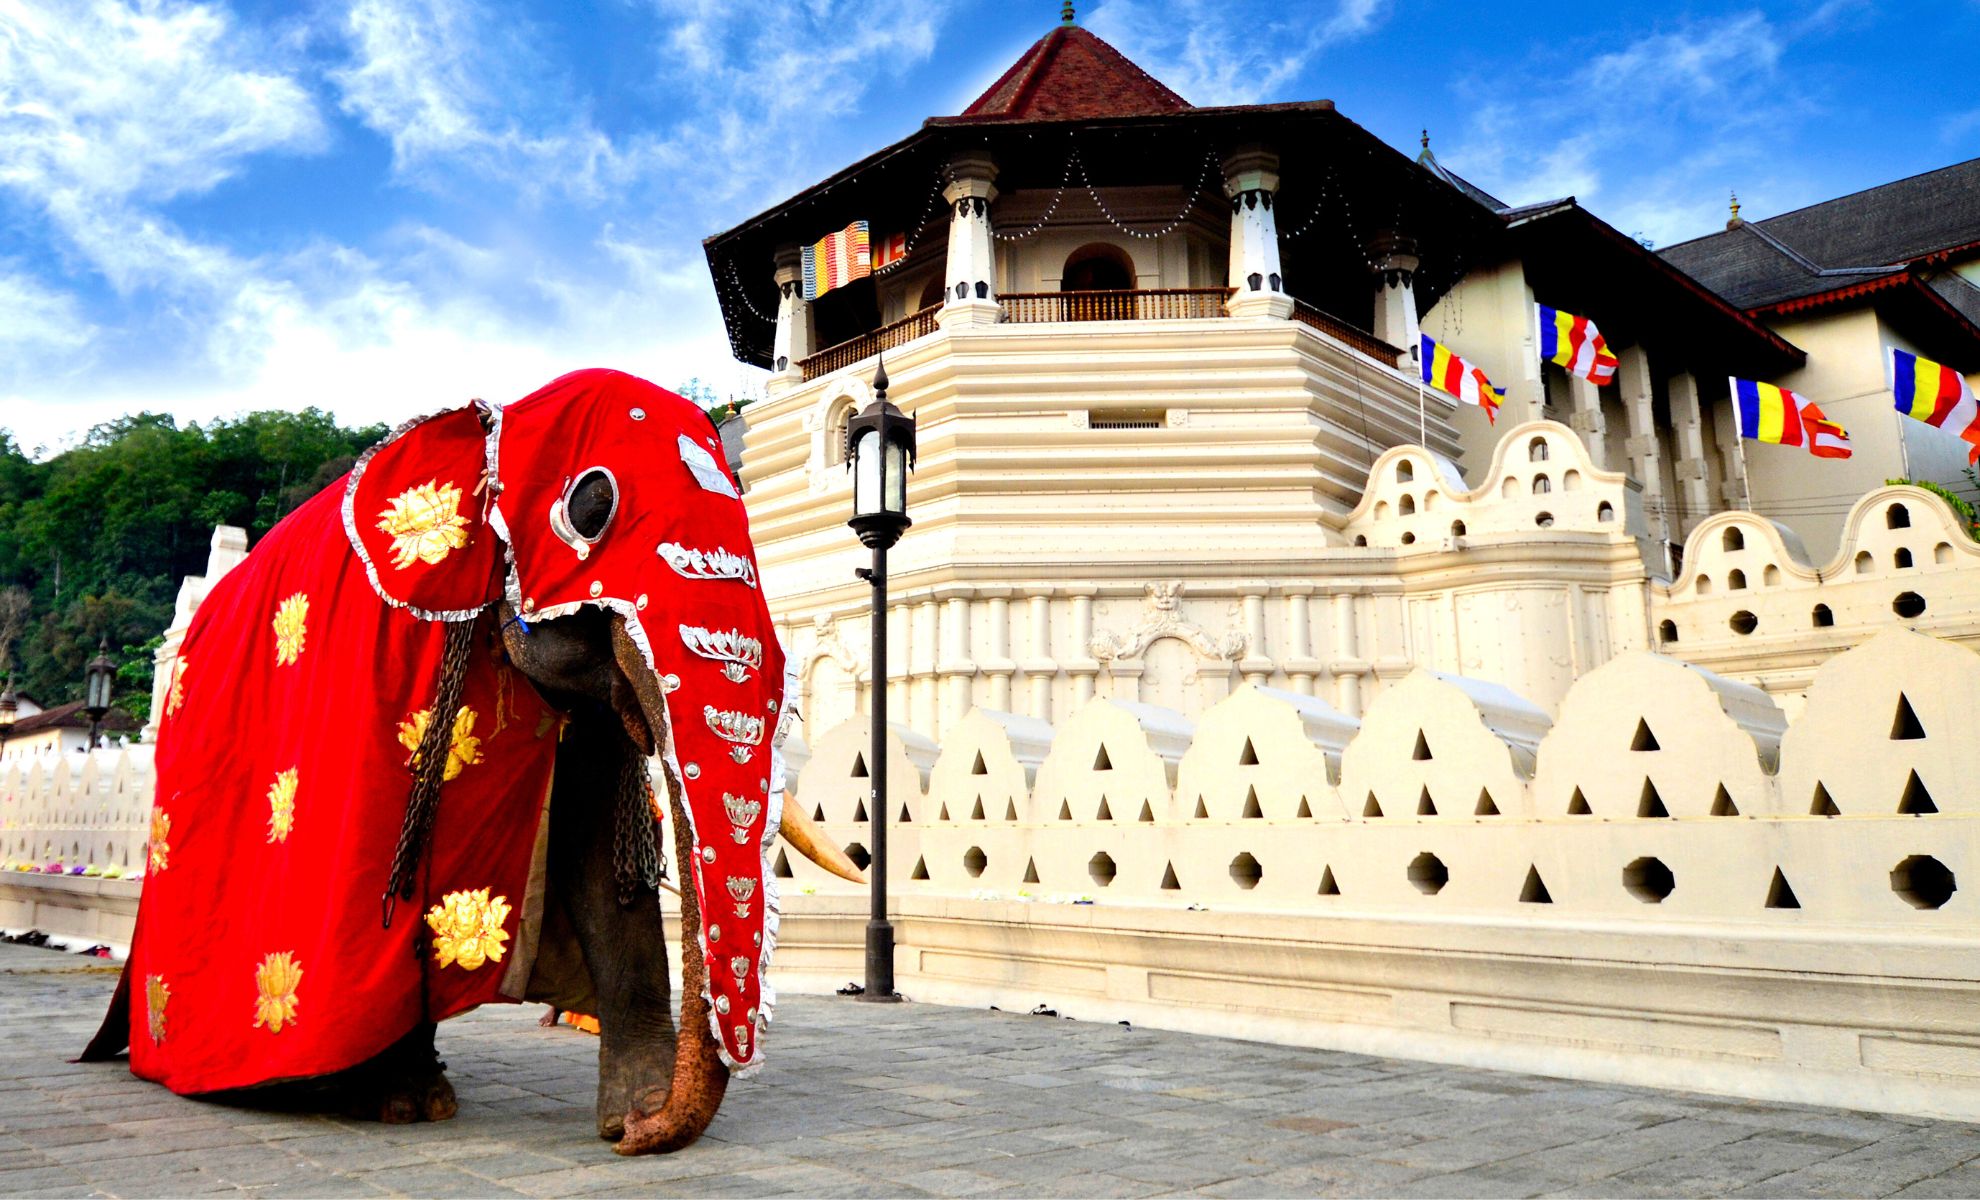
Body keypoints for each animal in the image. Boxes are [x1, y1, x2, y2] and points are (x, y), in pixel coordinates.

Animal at [83, 368, 859, 1156]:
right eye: (591, 505)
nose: (647, 1129)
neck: (493, 425)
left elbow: (594, 850)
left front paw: (629, 1117)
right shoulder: (383, 661)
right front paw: (401, 1099)